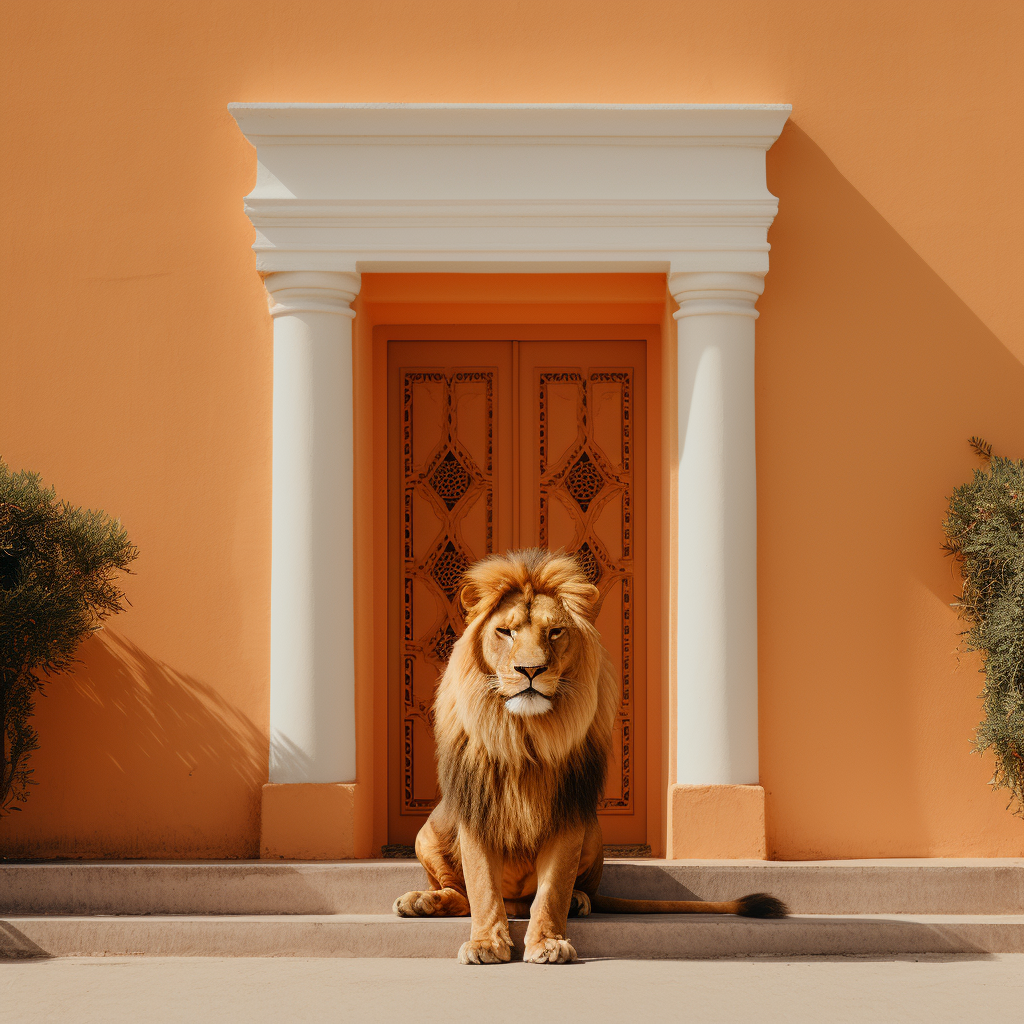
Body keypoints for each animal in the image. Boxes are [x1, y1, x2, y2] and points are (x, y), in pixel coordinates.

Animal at [391, 548, 782, 962]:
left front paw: (547, 942)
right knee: (462, 894)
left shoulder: (571, 810)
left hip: (593, 830)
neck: (526, 735)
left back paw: (578, 900)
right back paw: (420, 901)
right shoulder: (477, 807)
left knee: (560, 895)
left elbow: (552, 891)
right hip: (428, 831)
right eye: (505, 631)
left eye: (555, 632)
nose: (530, 669)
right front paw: (485, 943)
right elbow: (481, 886)